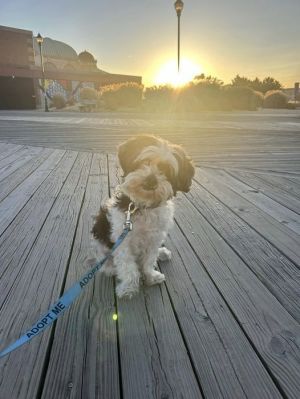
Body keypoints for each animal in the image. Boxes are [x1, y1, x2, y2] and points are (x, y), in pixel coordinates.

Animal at [91, 136, 195, 298]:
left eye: (166, 170)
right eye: (144, 162)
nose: (151, 179)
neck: (143, 206)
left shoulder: (154, 238)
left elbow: (148, 261)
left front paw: (151, 277)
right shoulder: (123, 241)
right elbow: (128, 266)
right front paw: (128, 287)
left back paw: (162, 252)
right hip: (100, 242)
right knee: (105, 260)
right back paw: (110, 268)